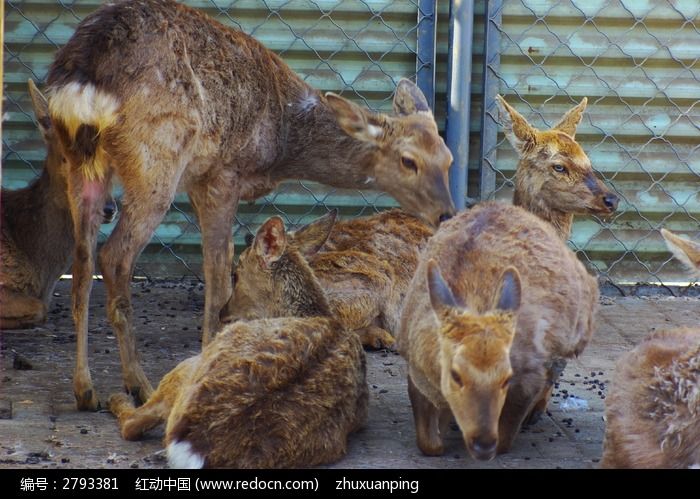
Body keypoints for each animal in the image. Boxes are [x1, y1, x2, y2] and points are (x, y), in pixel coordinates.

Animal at [46, 0, 456, 410]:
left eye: (448, 158)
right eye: (408, 160)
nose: (446, 213)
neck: (283, 141)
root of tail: (81, 77)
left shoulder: (200, 180)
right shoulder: (223, 173)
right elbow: (218, 273)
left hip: (79, 160)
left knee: (82, 264)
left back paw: (85, 390)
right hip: (156, 157)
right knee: (114, 257)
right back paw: (139, 385)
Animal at [108, 217, 366, 470]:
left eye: (236, 274)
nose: (223, 313)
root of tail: (194, 443)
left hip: (190, 365)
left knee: (133, 424)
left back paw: (117, 398)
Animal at [396, 203, 600, 460]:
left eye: (507, 377)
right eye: (455, 374)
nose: (483, 444)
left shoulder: (528, 375)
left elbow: (505, 438)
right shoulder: (415, 371)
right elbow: (428, 443)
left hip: (576, 334)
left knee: (557, 366)